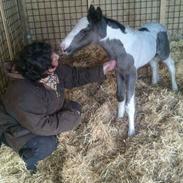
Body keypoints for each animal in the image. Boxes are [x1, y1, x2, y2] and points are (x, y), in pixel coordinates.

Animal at [60, 4, 177, 136]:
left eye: (84, 30)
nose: (62, 47)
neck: (122, 47)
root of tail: (160, 26)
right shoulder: (119, 72)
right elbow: (120, 96)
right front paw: (119, 118)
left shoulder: (132, 74)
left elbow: (129, 104)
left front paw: (131, 132)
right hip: (152, 55)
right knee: (154, 64)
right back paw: (154, 82)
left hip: (164, 53)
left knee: (171, 65)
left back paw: (174, 87)